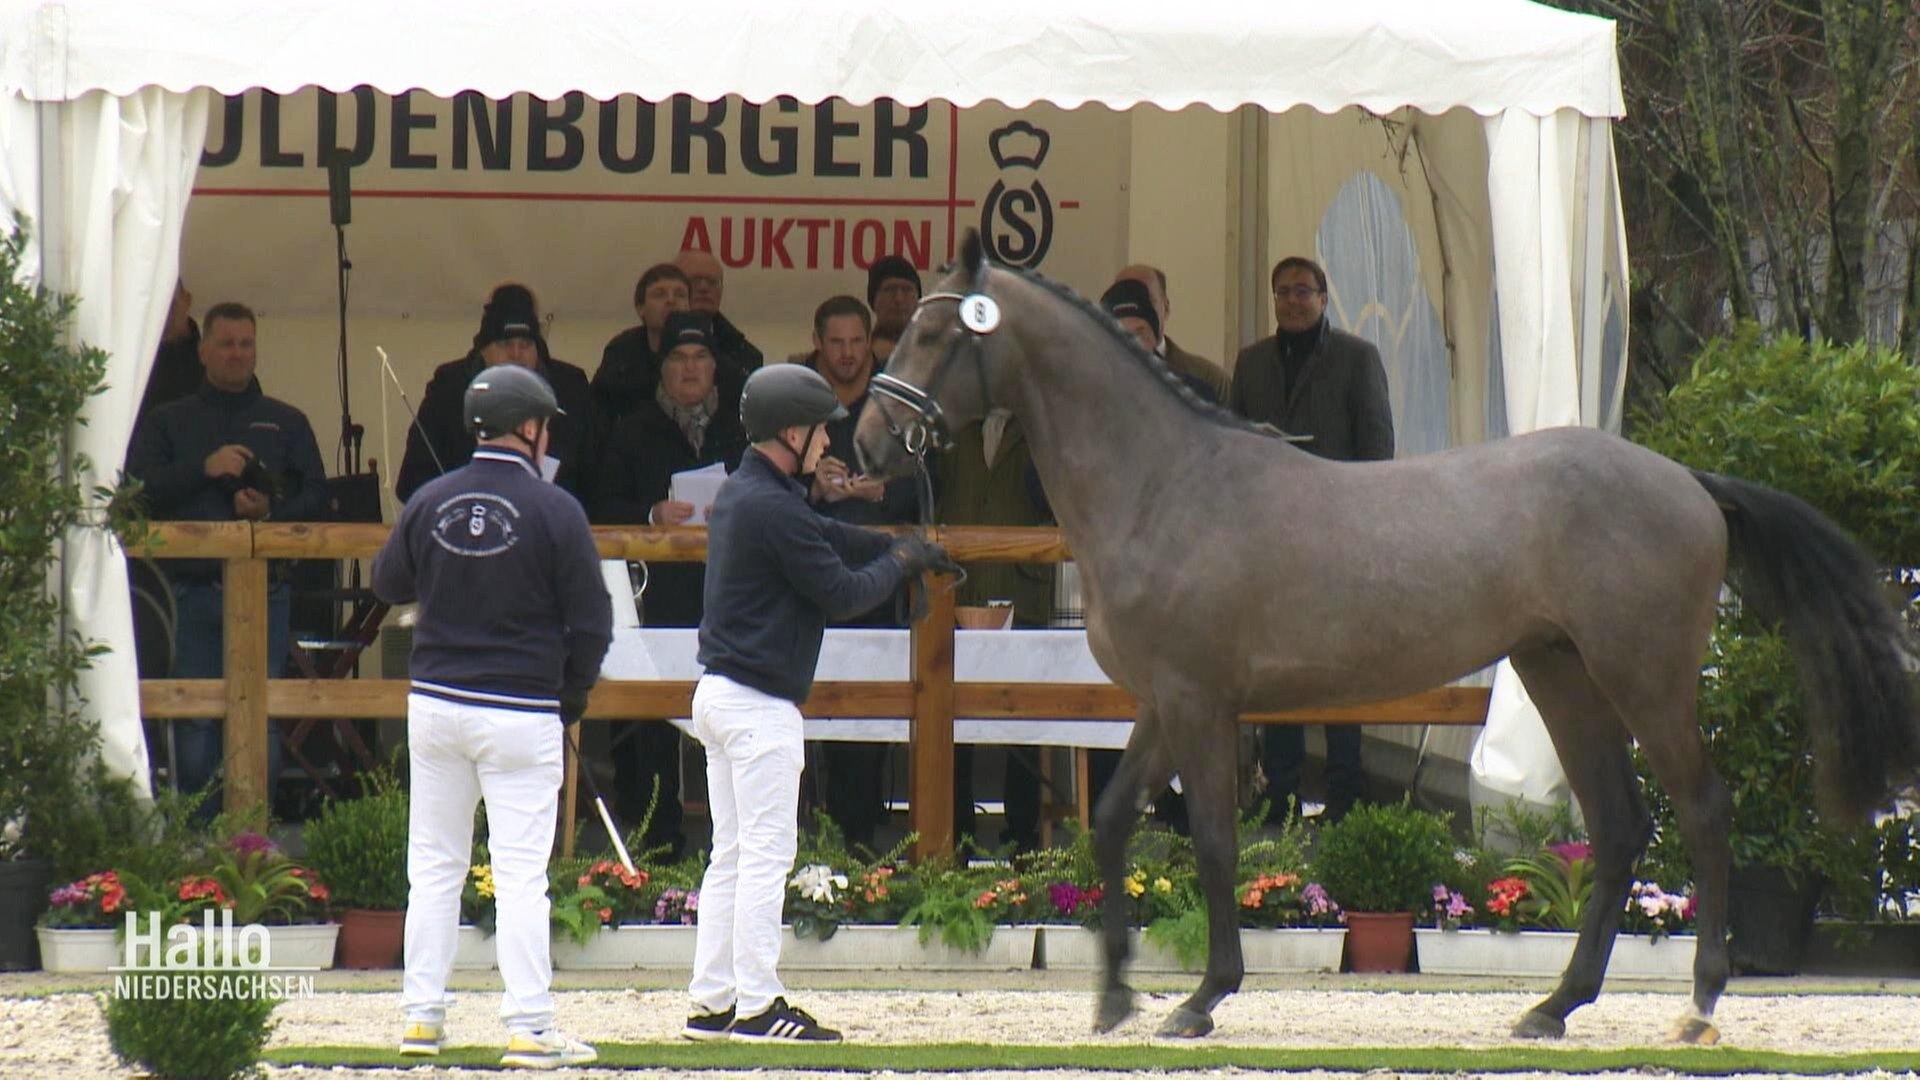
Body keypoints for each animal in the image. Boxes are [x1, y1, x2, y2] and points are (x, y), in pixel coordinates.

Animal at [856, 231, 1920, 1037]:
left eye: (932, 329)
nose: (866, 442)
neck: (1165, 483)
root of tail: (1690, 483)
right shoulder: (1167, 701)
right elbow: (1116, 824)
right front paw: (1117, 998)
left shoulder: (1200, 704)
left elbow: (1213, 841)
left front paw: (1201, 999)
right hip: (1559, 673)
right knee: (1621, 824)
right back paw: (1552, 1008)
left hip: (1644, 678)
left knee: (1700, 809)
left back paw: (1697, 1003)